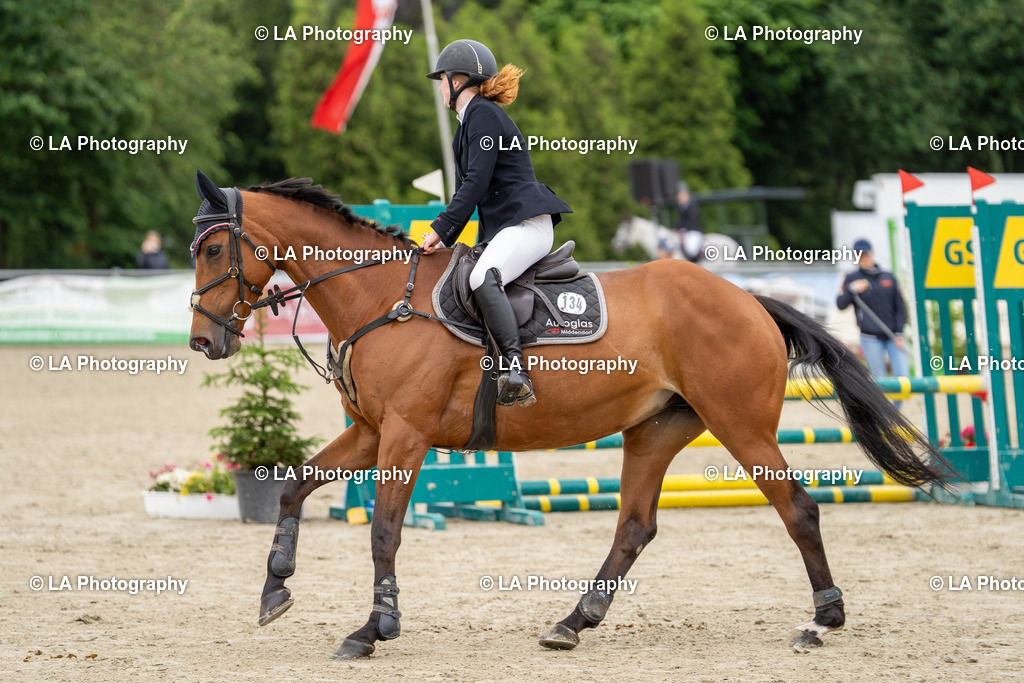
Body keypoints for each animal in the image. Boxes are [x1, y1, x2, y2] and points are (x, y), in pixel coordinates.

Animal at [187, 172, 949, 660]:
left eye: (216, 249)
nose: (203, 341)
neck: (381, 297)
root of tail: (749, 298)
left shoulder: (404, 436)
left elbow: (383, 531)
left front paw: (372, 630)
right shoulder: (371, 431)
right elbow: (293, 485)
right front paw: (275, 589)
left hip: (743, 425)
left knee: (798, 508)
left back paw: (823, 620)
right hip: (655, 430)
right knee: (635, 526)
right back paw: (573, 621)